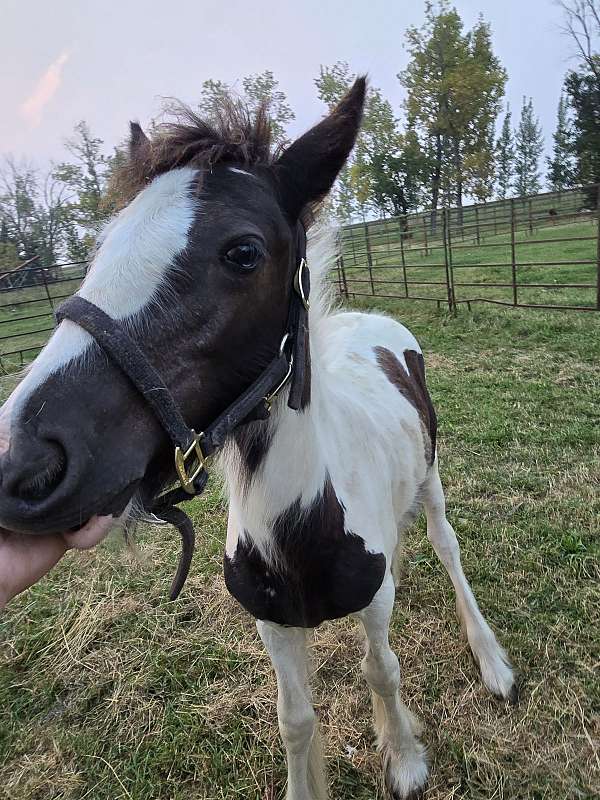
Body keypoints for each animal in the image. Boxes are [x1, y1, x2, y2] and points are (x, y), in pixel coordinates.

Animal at [0, 76, 516, 800]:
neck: (302, 525)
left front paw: (405, 759)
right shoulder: (271, 622)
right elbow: (294, 718)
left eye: (242, 251)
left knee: (448, 547)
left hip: (433, 477)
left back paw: (492, 660)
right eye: (102, 249)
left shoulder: (374, 596)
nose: (23, 461)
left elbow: (382, 669)